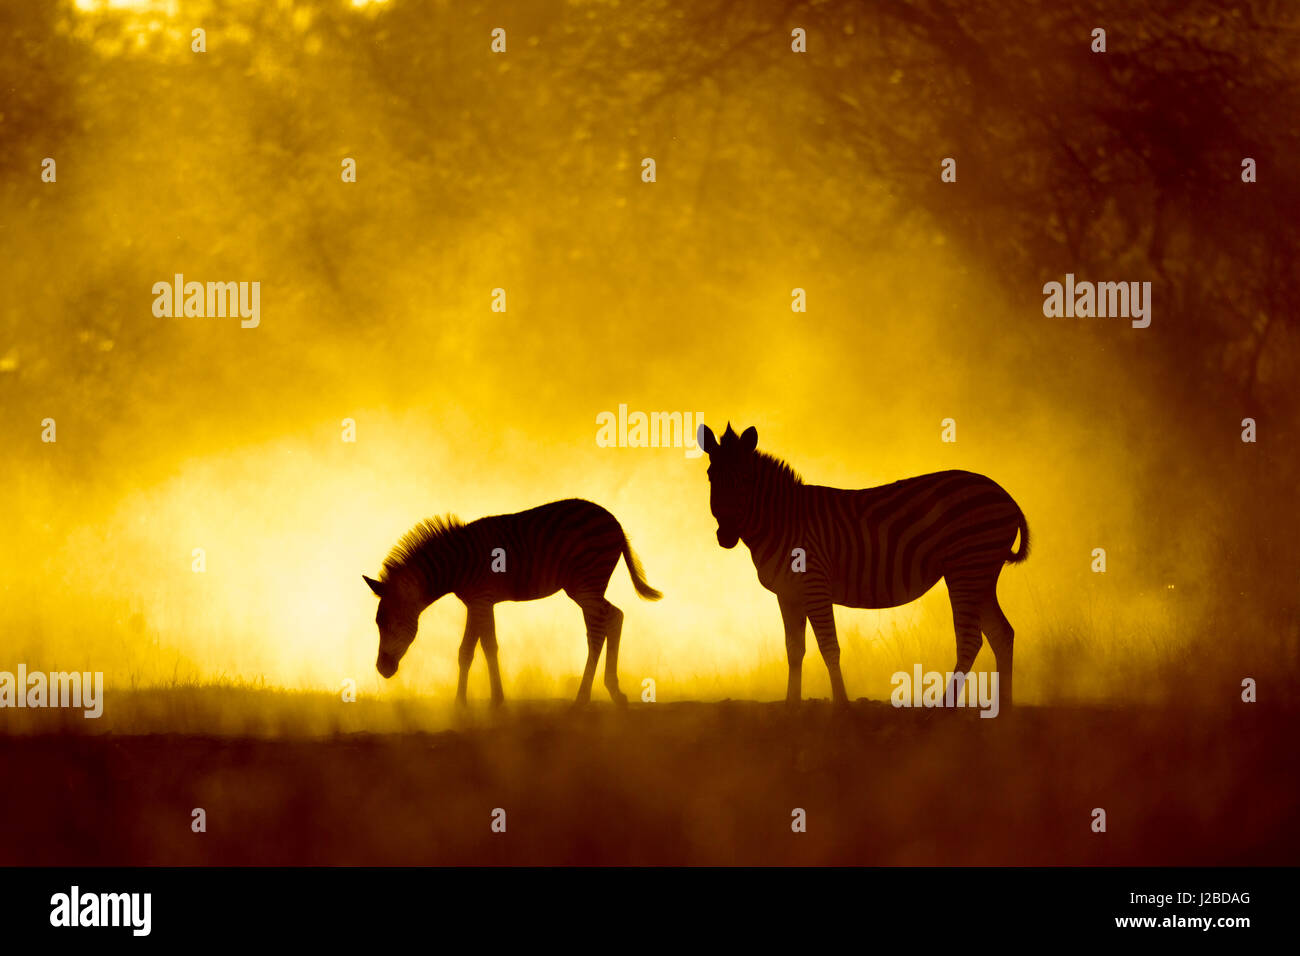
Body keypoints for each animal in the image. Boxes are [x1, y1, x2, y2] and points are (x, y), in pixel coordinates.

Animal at [363, 498, 661, 706]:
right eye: (377, 623)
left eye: (390, 623)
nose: (381, 670)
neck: (457, 564)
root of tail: (614, 521)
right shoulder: (476, 602)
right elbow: (469, 651)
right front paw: (463, 703)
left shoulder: (482, 599)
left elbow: (484, 648)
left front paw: (491, 701)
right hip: (585, 586)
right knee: (615, 615)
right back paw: (614, 690)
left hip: (587, 581)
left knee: (597, 629)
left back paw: (582, 698)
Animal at [698, 423, 1029, 708]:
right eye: (711, 475)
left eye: (745, 478)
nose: (726, 536)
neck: (782, 520)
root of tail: (1006, 496)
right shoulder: (788, 594)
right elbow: (794, 651)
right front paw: (792, 706)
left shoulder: (814, 584)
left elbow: (829, 648)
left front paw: (842, 706)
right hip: (980, 573)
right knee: (1001, 634)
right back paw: (1005, 710)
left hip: (967, 567)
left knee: (971, 639)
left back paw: (944, 709)